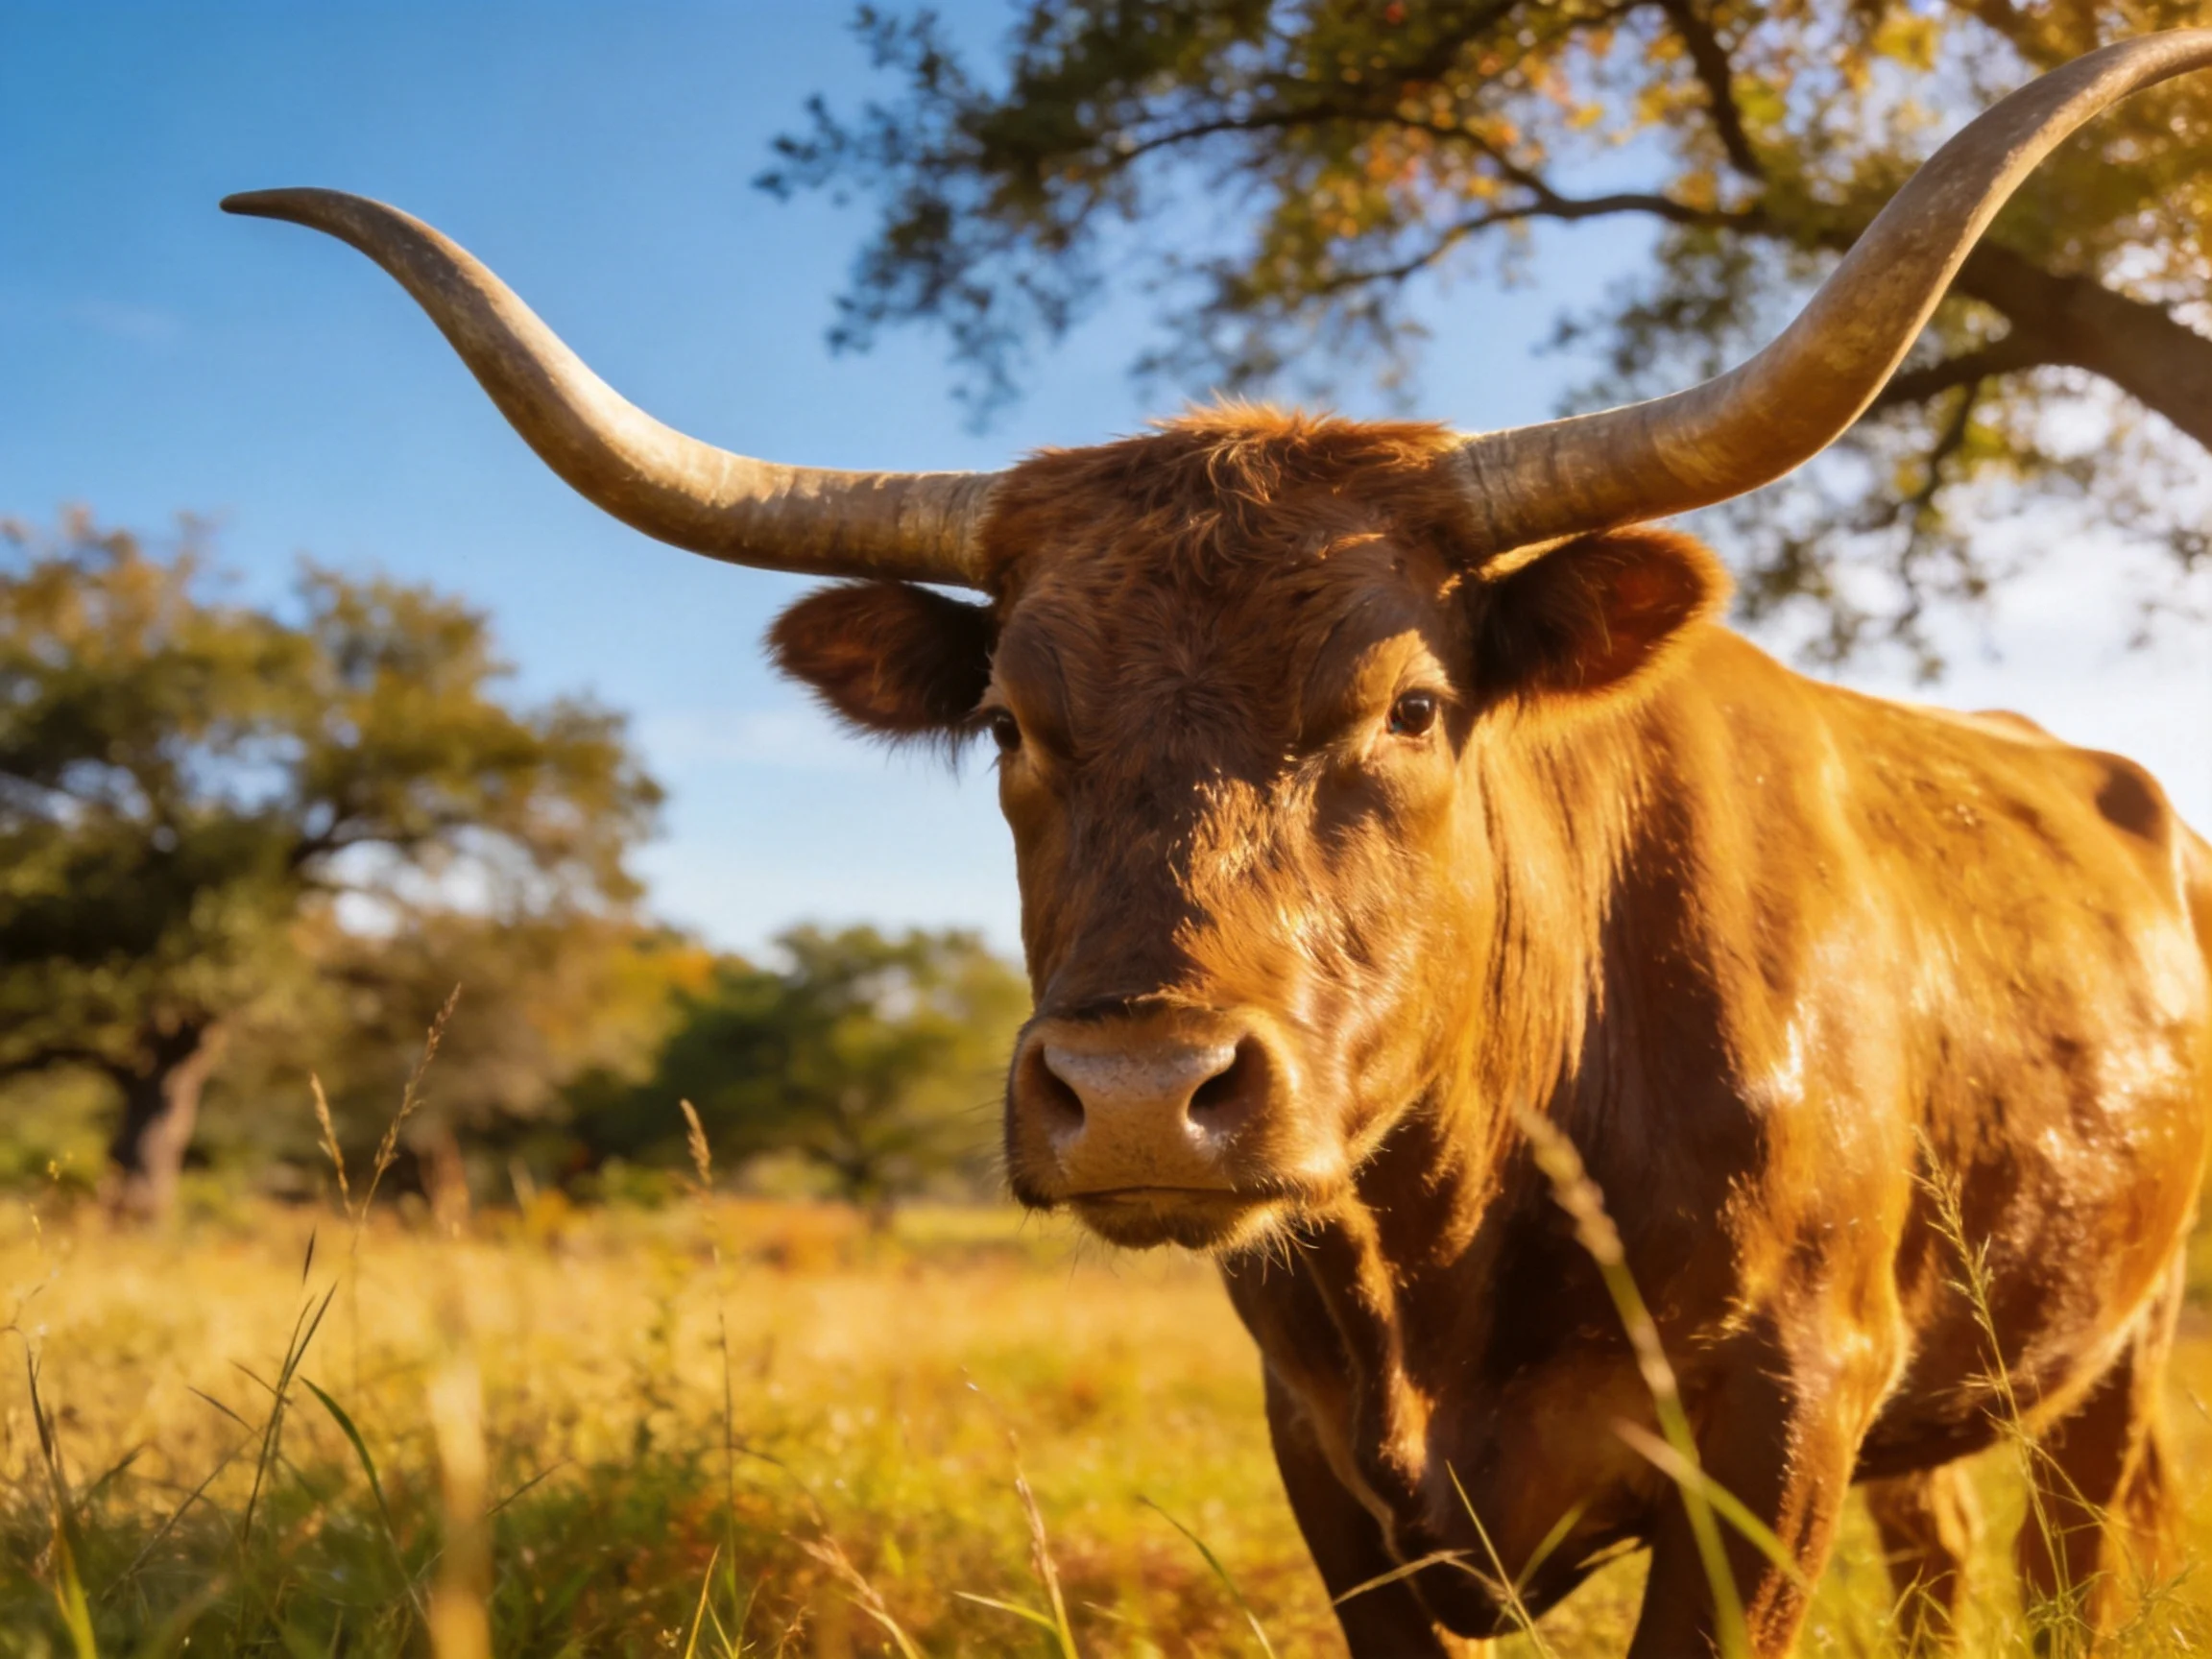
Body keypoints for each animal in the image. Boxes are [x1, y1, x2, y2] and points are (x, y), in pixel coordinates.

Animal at [227, 31, 2212, 1656]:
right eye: (1006, 721)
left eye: (1409, 706)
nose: (1129, 1092)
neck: (1447, 1245)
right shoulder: (1322, 1455)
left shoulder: (1772, 1420)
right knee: (1942, 1542)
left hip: (2111, 1344)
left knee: (2074, 1555)